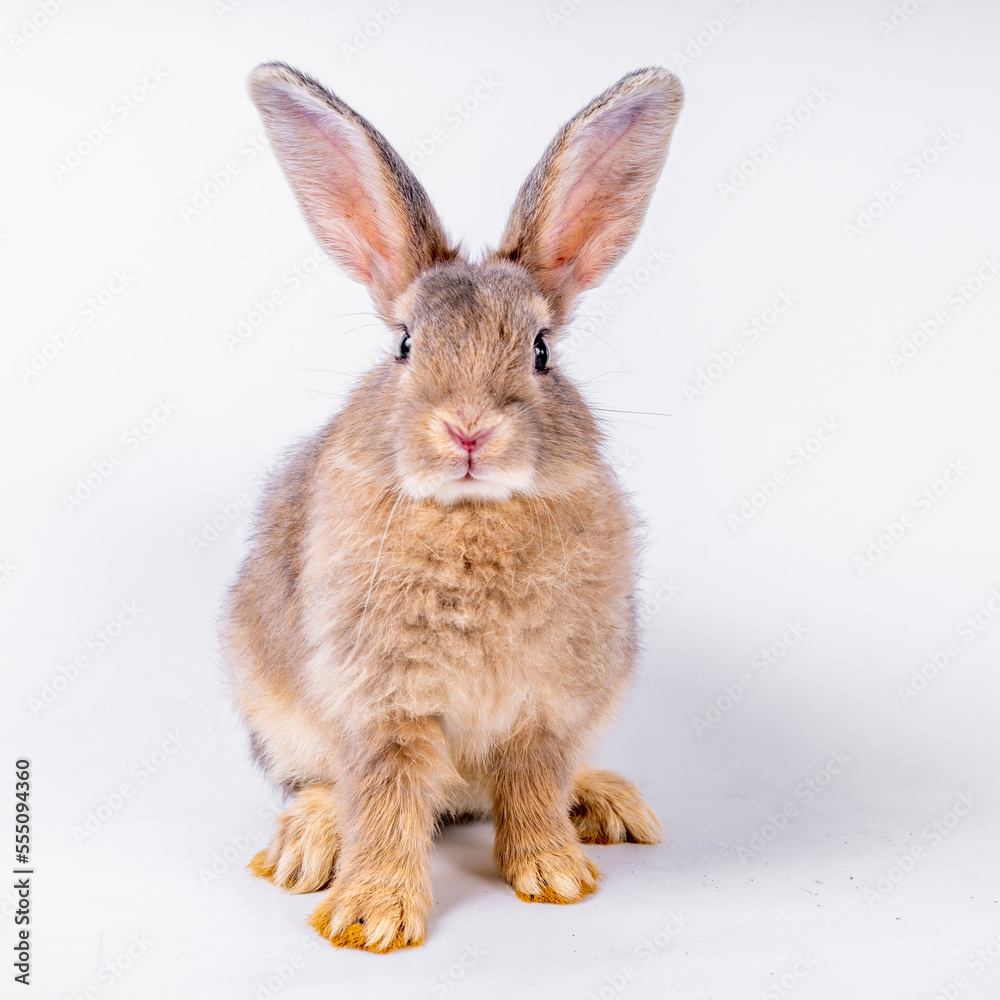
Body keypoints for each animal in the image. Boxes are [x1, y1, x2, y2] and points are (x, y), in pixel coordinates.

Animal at [222, 61, 684, 953]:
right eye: (405, 345)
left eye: (541, 351)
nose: (468, 429)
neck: (472, 517)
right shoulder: (385, 704)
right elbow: (388, 799)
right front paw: (371, 917)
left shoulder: (546, 707)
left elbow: (533, 786)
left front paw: (555, 876)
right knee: (321, 785)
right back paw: (304, 847)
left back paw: (606, 804)